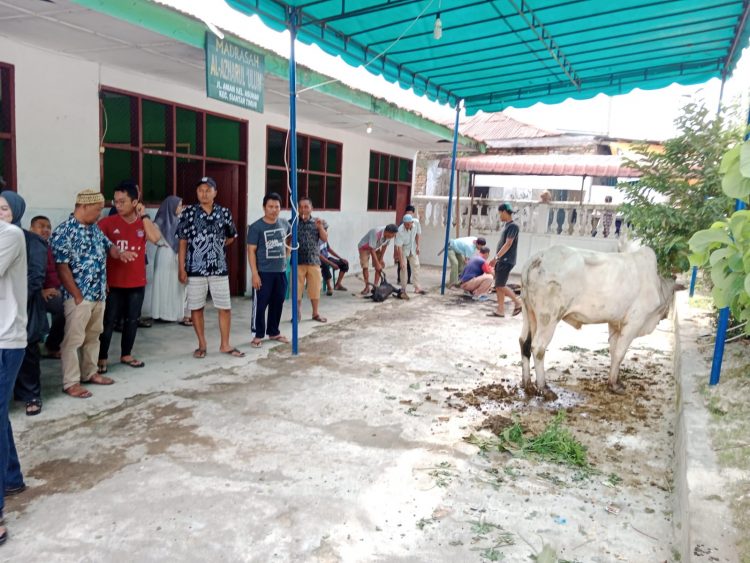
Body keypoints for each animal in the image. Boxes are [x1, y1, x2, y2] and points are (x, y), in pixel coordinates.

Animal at [520, 245, 680, 394]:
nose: (666, 315)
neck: (658, 285)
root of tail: (539, 257)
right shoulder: (634, 322)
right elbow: (620, 353)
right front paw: (614, 385)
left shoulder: (615, 323)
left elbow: (613, 352)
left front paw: (615, 380)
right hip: (549, 318)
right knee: (538, 347)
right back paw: (543, 388)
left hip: (528, 312)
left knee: (524, 342)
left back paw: (527, 385)